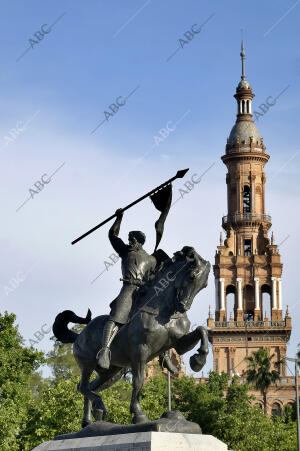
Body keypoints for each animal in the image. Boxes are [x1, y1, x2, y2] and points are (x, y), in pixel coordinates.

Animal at [52, 247, 210, 428]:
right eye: (192, 276)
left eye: (204, 285)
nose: (183, 307)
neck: (164, 311)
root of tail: (79, 336)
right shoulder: (140, 352)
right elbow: (139, 381)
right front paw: (138, 414)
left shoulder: (179, 344)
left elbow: (202, 330)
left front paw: (198, 360)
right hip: (88, 364)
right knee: (82, 387)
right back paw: (99, 407)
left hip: (111, 373)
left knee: (90, 388)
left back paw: (89, 420)